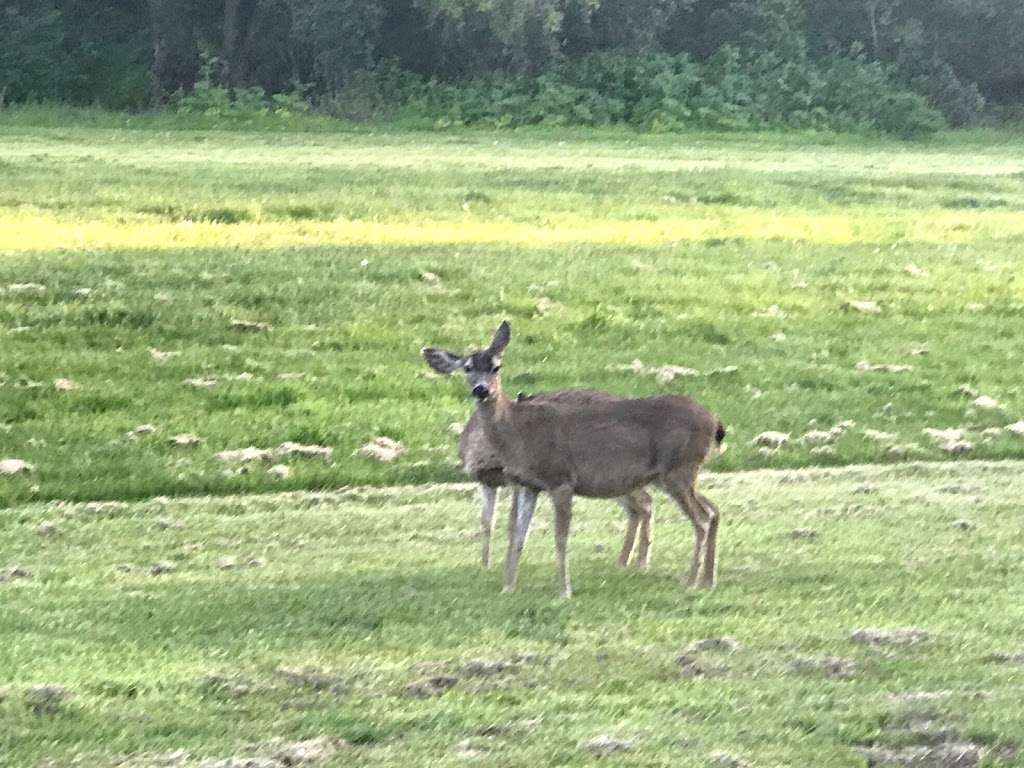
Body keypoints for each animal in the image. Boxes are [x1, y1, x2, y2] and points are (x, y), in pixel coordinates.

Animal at [460, 393, 651, 573]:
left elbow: (511, 522)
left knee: (645, 502)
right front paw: (485, 566)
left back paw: (641, 563)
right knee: (636, 508)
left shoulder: (518, 480)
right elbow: (487, 522)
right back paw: (624, 562)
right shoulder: (488, 483)